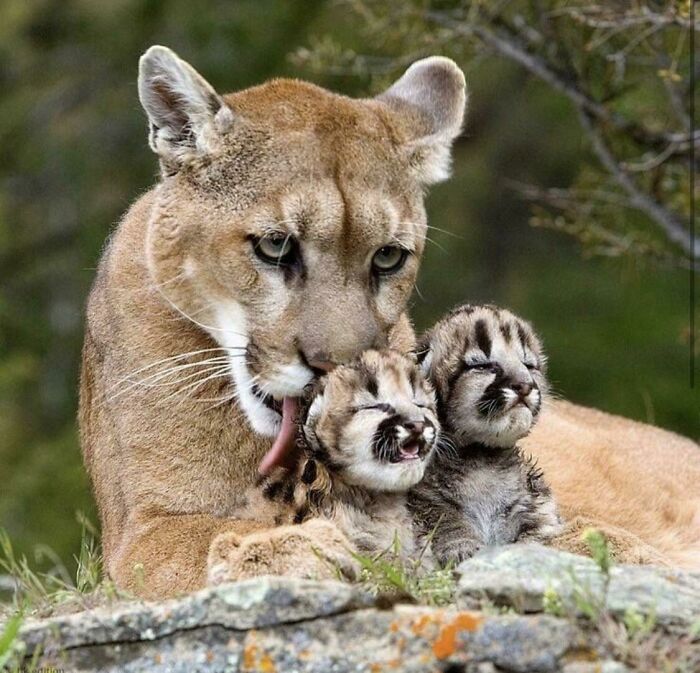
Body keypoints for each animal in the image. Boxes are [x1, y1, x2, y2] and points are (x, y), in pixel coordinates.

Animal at [79, 46, 700, 599]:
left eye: (387, 257)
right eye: (276, 245)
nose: (330, 370)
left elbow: (573, 531)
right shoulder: (145, 528)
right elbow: (212, 533)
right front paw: (292, 548)